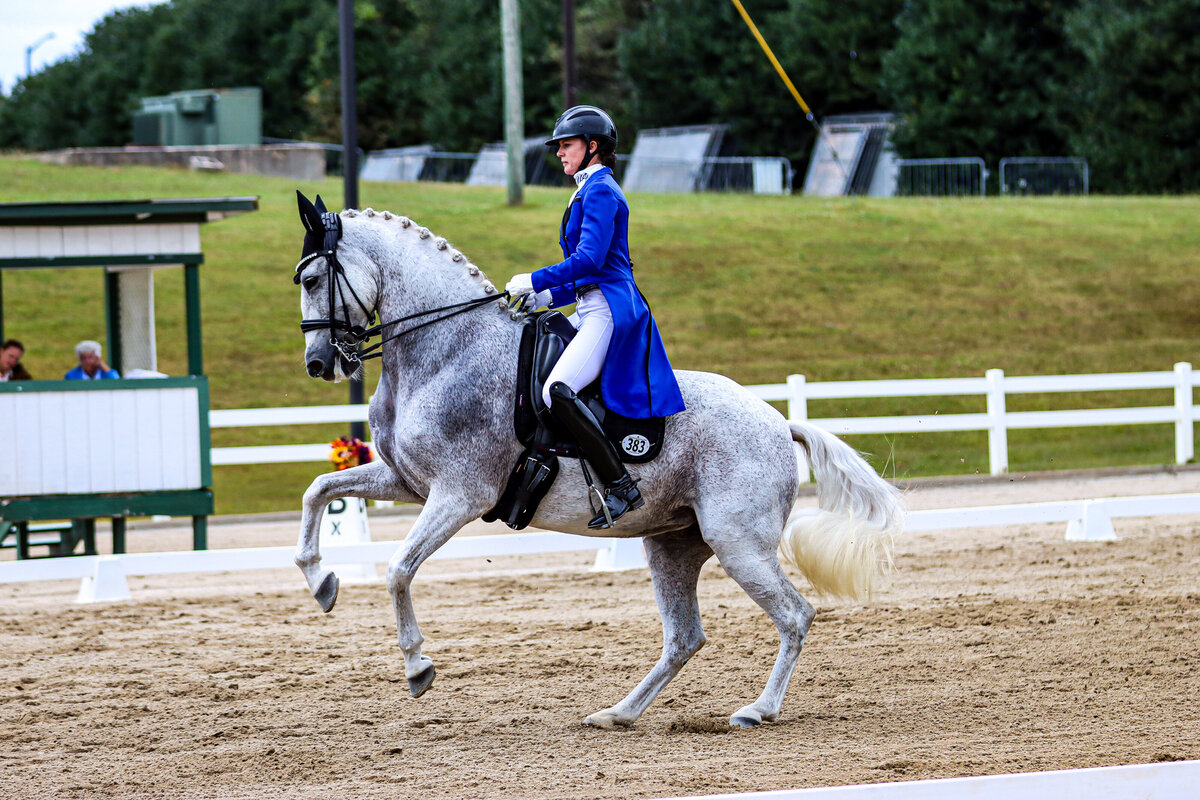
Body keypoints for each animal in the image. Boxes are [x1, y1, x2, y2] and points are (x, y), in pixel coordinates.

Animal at [291, 196, 903, 728]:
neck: (447, 351)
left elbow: (398, 568)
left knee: (795, 615)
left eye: (313, 280)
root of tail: (777, 421)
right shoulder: (407, 481)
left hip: (739, 543)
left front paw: (418, 667)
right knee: (686, 636)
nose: (319, 364)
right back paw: (619, 713)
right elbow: (320, 488)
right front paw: (322, 582)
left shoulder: (460, 494)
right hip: (673, 545)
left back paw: (758, 710)